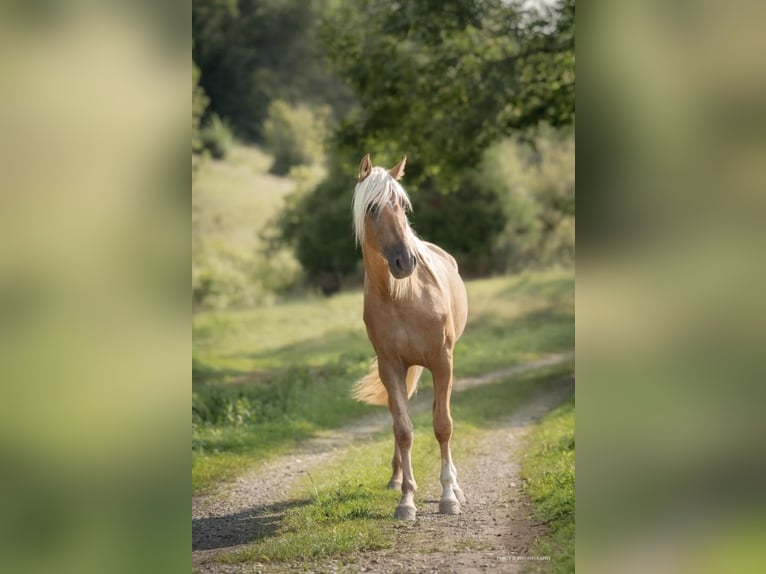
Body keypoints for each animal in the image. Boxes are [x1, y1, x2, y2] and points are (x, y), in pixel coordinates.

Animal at [352, 153, 472, 520]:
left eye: (403, 206)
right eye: (372, 208)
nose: (406, 261)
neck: (402, 296)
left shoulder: (442, 362)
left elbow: (443, 425)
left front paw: (448, 496)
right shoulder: (391, 367)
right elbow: (403, 429)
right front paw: (406, 499)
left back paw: (456, 487)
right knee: (398, 419)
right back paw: (396, 479)